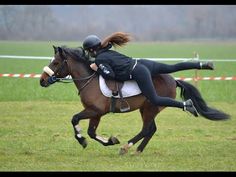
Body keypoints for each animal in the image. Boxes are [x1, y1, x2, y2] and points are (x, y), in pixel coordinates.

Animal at [39, 45, 230, 155]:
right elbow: (91, 132)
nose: (42, 80)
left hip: (153, 105)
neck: (89, 80)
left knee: (146, 129)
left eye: (55, 63)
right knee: (151, 129)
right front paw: (109, 140)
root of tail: (173, 80)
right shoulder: (96, 114)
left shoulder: (95, 111)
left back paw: (127, 147)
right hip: (147, 108)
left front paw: (82, 139)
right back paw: (137, 150)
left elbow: (75, 119)